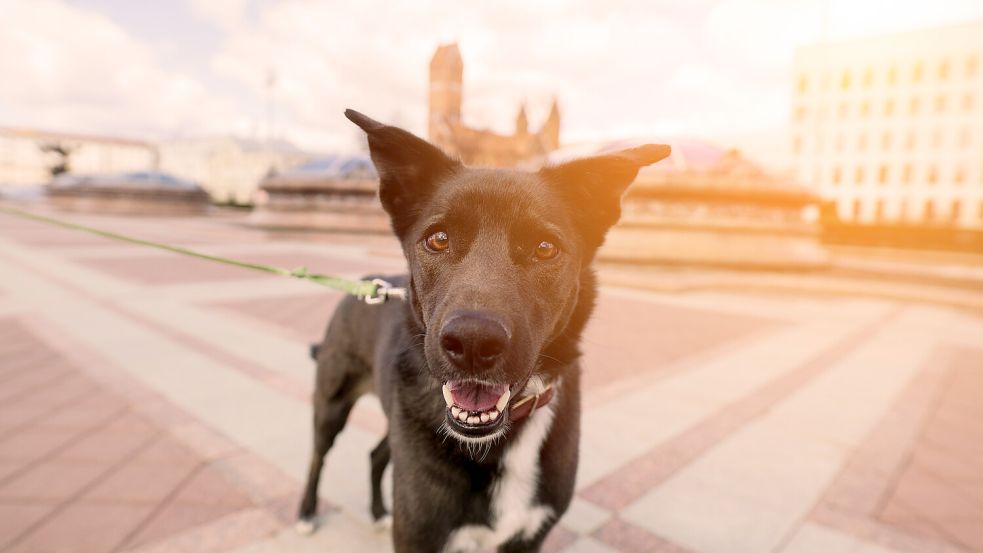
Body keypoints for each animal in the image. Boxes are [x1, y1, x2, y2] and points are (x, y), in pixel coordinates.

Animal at [300, 110, 668, 548]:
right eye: (438, 239)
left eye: (545, 247)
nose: (472, 343)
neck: (500, 440)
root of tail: (364, 287)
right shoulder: (419, 532)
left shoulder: (529, 536)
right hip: (331, 405)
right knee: (317, 457)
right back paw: (306, 513)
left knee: (375, 455)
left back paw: (377, 512)